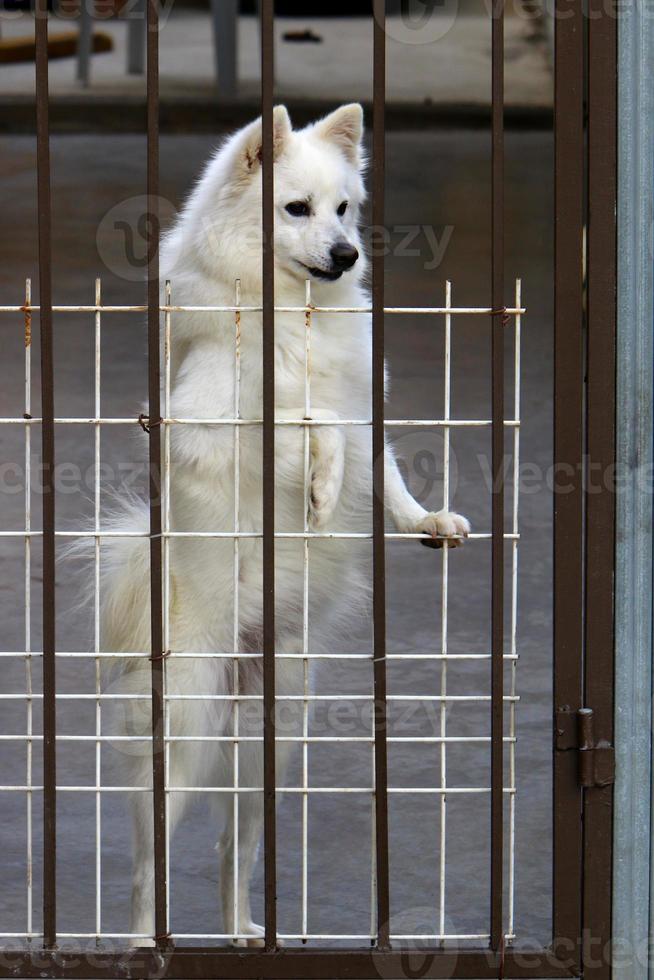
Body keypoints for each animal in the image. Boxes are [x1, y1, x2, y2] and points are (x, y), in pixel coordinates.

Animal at [102, 103, 468, 944]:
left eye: (344, 209)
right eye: (294, 210)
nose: (347, 253)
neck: (293, 311)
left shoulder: (366, 413)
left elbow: (382, 468)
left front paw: (424, 518)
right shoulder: (218, 422)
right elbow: (313, 424)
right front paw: (323, 491)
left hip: (276, 742)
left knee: (231, 849)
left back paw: (243, 929)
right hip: (185, 736)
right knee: (145, 868)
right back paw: (140, 939)